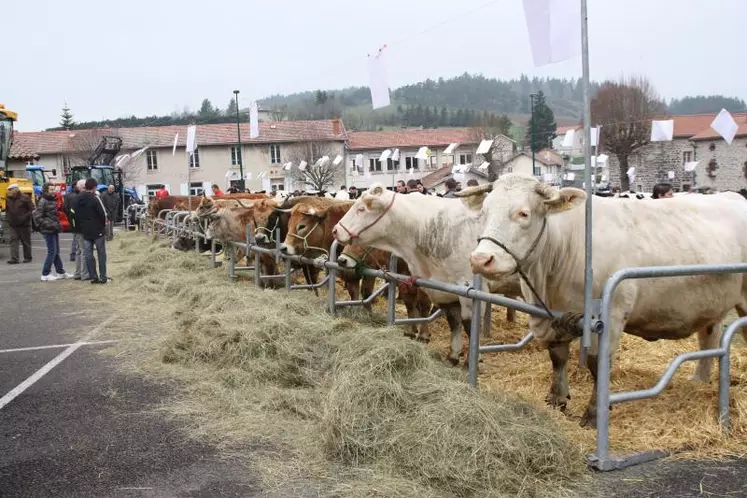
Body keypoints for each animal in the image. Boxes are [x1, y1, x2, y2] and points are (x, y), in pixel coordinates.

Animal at [334, 182, 520, 362]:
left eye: (361, 209)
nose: (336, 230)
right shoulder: (445, 291)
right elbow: (454, 322)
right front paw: (453, 355)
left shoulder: (473, 291)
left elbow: (470, 326)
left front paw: (472, 360)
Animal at [464, 173, 747, 426]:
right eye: (484, 212)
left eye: (523, 214)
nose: (480, 260)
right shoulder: (552, 315)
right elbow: (557, 356)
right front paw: (557, 398)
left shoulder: (610, 316)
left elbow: (597, 363)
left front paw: (593, 414)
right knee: (709, 336)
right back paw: (699, 382)